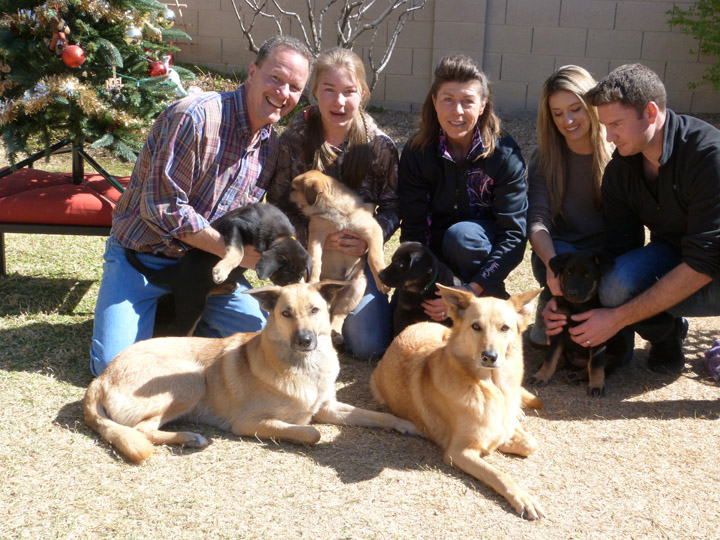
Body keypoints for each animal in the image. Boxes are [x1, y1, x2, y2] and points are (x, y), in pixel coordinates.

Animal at [84, 280, 420, 462]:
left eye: (315, 310)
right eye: (285, 314)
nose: (305, 340)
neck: (304, 368)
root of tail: (101, 378)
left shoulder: (327, 406)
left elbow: (377, 415)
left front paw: (405, 424)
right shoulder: (249, 423)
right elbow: (312, 432)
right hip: (191, 380)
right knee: (142, 430)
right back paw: (190, 437)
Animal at [125, 202, 310, 338]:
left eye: (300, 275)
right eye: (285, 276)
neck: (280, 236)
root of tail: (174, 272)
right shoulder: (236, 225)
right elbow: (238, 251)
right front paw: (221, 270)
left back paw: (227, 286)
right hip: (192, 305)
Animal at [286, 170, 390, 346]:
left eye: (293, 189)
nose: (282, 200)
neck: (334, 210)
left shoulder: (372, 230)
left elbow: (374, 255)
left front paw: (381, 278)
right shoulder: (317, 234)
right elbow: (316, 258)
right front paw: (313, 279)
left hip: (356, 288)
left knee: (339, 315)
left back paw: (336, 334)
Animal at [372, 286, 544, 520]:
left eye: (504, 328)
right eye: (476, 326)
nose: (489, 357)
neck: (490, 387)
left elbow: (530, 443)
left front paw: (507, 438)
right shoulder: (458, 452)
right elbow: (498, 474)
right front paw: (523, 498)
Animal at [528, 252, 624, 396]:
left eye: (587, 276)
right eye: (568, 273)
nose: (572, 292)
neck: (577, 306)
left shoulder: (597, 333)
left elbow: (595, 365)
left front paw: (596, 385)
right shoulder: (558, 327)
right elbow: (551, 357)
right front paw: (541, 375)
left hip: (617, 352)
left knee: (601, 366)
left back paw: (577, 375)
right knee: (561, 357)